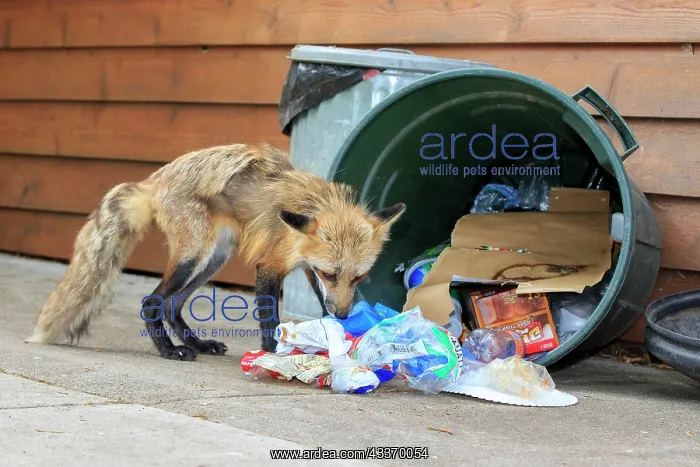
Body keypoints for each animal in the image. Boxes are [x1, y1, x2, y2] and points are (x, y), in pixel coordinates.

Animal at [25, 143, 405, 361]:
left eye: (360, 277)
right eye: (331, 273)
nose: (345, 315)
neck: (313, 203)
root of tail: (156, 179)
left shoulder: (308, 269)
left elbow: (322, 306)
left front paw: (333, 338)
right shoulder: (271, 264)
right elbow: (270, 319)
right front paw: (274, 354)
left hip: (213, 259)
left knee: (172, 305)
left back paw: (195, 344)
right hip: (193, 254)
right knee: (152, 302)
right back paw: (170, 351)